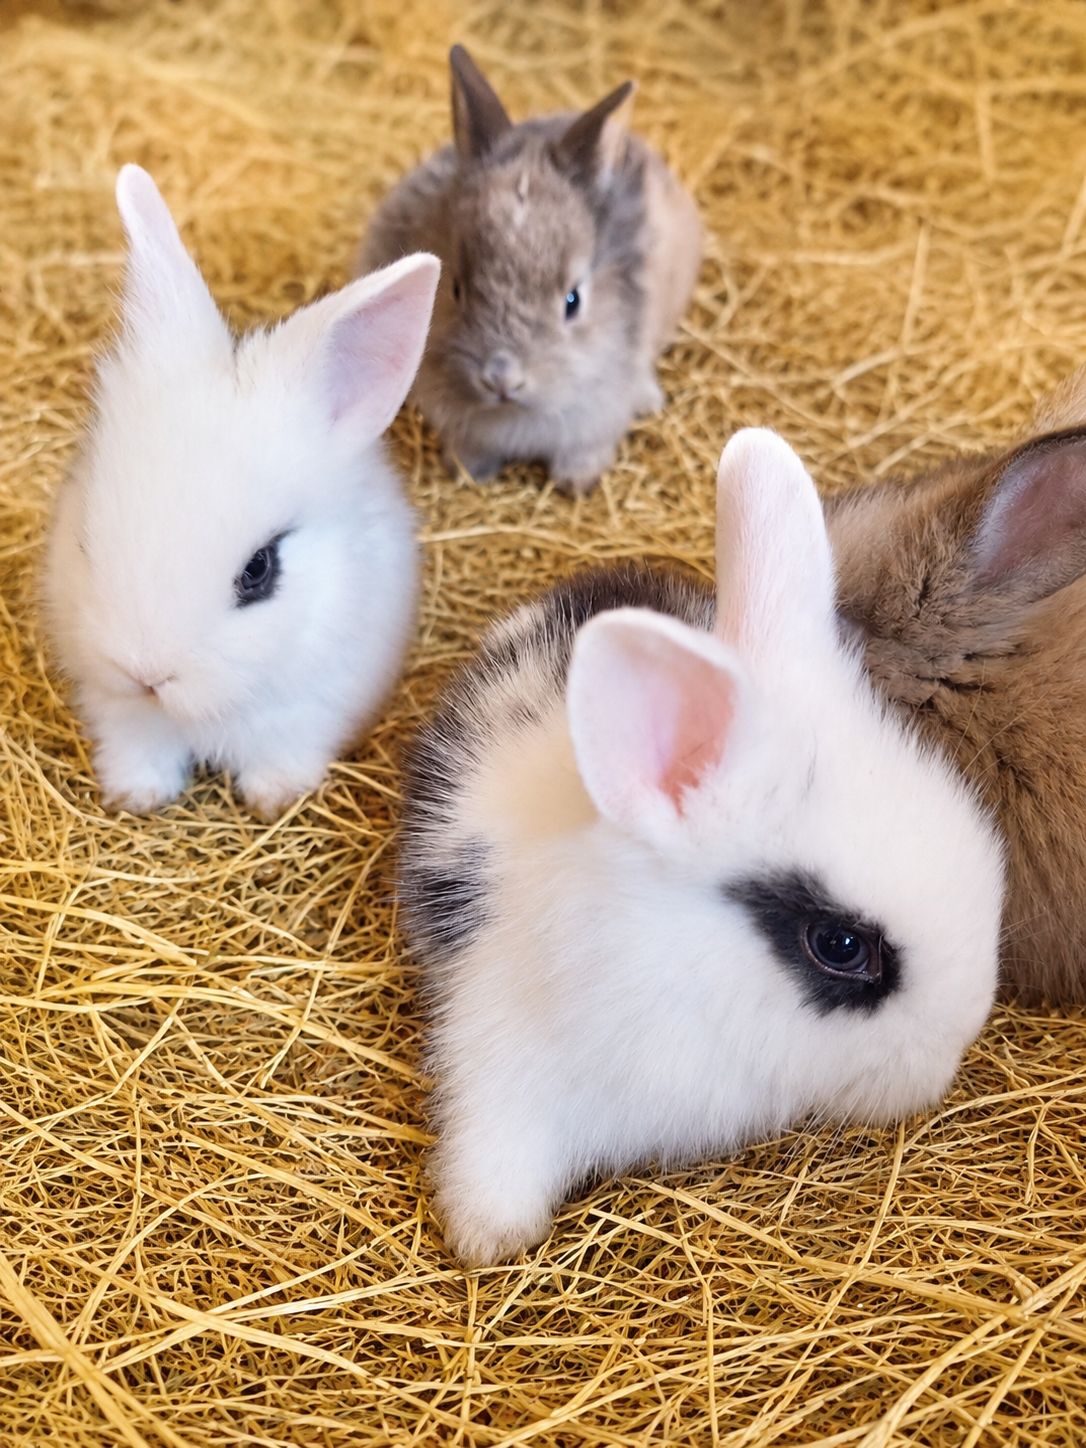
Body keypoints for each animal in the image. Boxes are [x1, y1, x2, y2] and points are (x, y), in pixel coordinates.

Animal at [43, 165, 439, 819]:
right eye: (85, 540)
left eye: (259, 570)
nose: (146, 674)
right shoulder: (120, 714)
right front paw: (137, 796)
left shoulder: (306, 713)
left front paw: (274, 800)